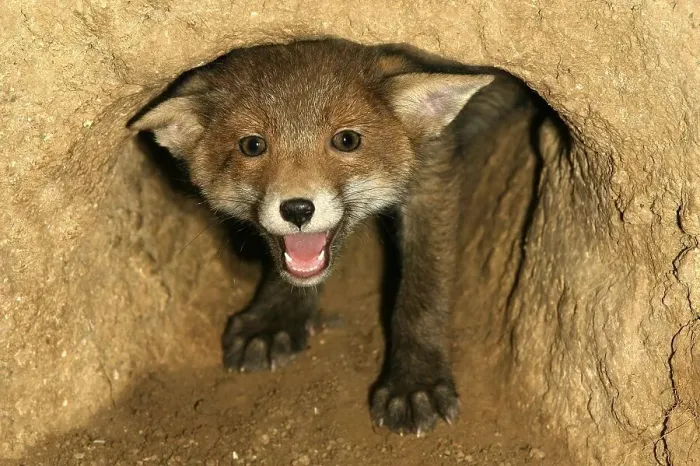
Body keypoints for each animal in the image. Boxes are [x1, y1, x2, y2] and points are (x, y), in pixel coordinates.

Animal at [128, 38, 565, 435]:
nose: (297, 209)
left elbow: (423, 290)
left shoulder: (433, 173)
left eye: (347, 140)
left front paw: (416, 381)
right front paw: (275, 318)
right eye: (252, 145)